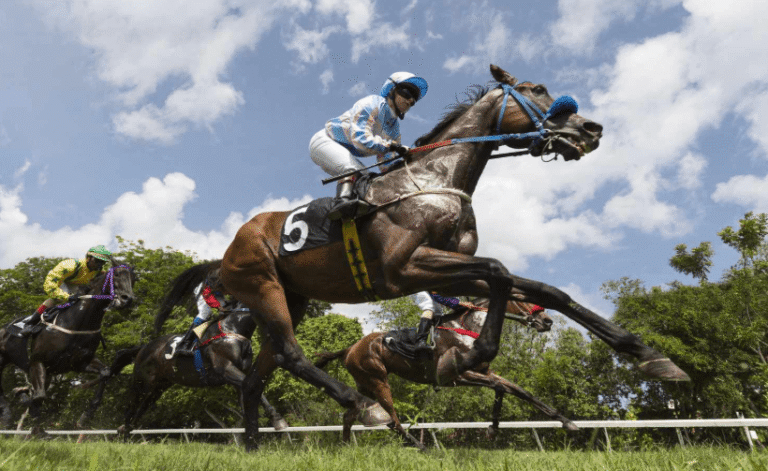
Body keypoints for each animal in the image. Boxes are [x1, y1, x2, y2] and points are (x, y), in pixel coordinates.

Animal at [0, 264, 135, 433]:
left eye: (133, 278)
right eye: (116, 275)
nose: (127, 299)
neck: (76, 322)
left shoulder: (78, 363)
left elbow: (105, 373)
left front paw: (85, 416)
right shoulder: (38, 361)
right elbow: (38, 397)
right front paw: (22, 397)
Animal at [112, 261, 287, 437]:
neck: (233, 328)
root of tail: (145, 347)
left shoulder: (240, 371)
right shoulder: (225, 368)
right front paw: (277, 420)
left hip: (160, 385)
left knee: (143, 407)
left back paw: (128, 428)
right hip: (142, 380)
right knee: (131, 403)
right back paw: (124, 430)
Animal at [314, 298, 576, 450]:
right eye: (520, 298)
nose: (547, 321)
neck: (471, 328)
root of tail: (350, 348)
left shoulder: (484, 372)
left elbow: (519, 391)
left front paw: (566, 421)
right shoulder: (458, 376)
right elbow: (500, 387)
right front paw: (492, 429)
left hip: (364, 384)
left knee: (350, 415)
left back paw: (347, 448)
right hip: (378, 380)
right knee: (392, 418)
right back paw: (418, 446)